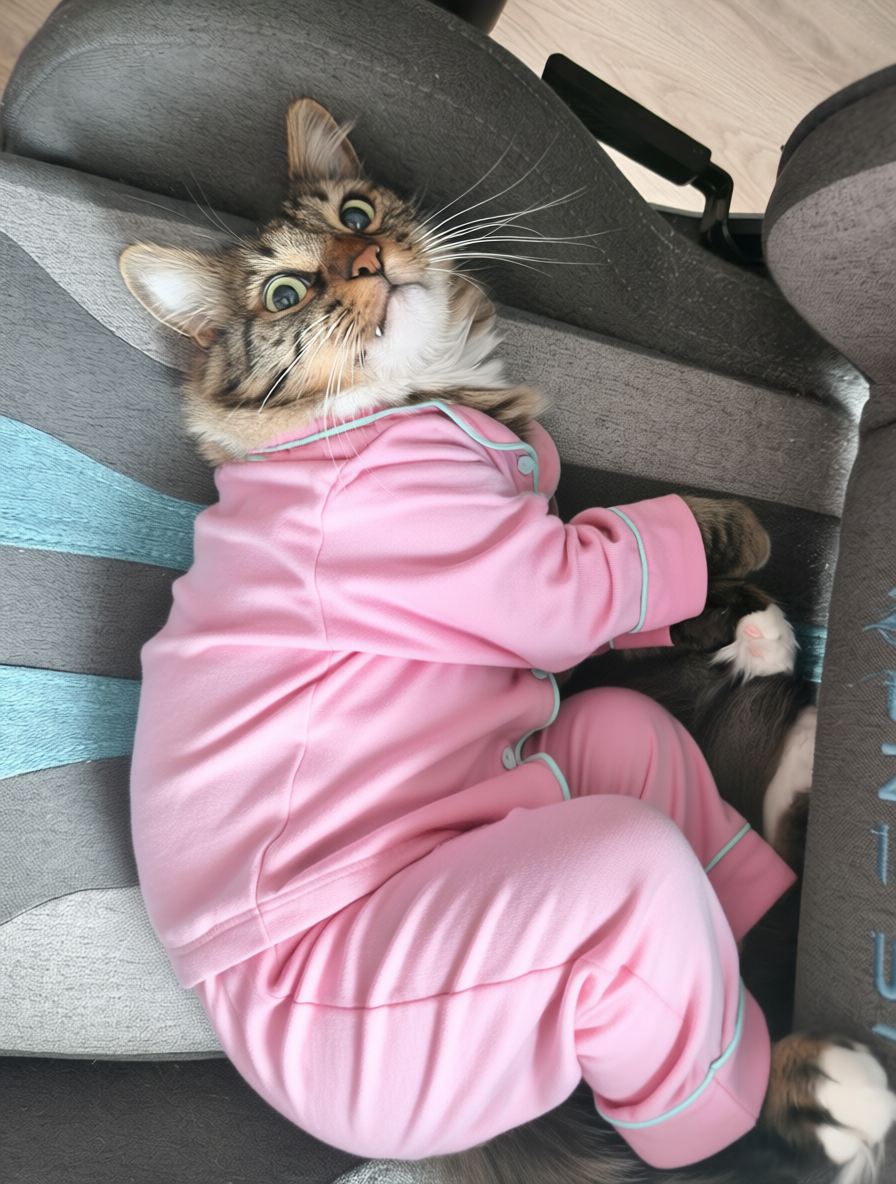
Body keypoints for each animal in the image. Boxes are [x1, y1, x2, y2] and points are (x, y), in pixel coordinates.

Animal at [120, 99, 896, 1184]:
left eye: (356, 214)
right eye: (285, 290)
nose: (368, 262)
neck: (424, 397)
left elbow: (638, 566)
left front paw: (744, 608)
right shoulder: (510, 563)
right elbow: (645, 543)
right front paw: (743, 550)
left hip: (607, 759)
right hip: (526, 931)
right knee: (688, 1113)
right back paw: (819, 1089)